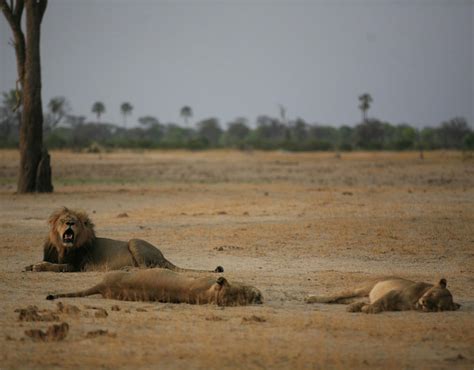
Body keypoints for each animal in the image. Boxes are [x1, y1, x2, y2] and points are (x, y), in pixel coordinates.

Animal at [25, 207, 224, 274]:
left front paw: (38, 267)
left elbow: (56, 266)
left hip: (133, 241)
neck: (63, 247)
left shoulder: (77, 265)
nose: (69, 223)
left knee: (146, 268)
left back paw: (128, 269)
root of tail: (163, 256)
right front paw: (30, 265)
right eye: (62, 220)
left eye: (76, 221)